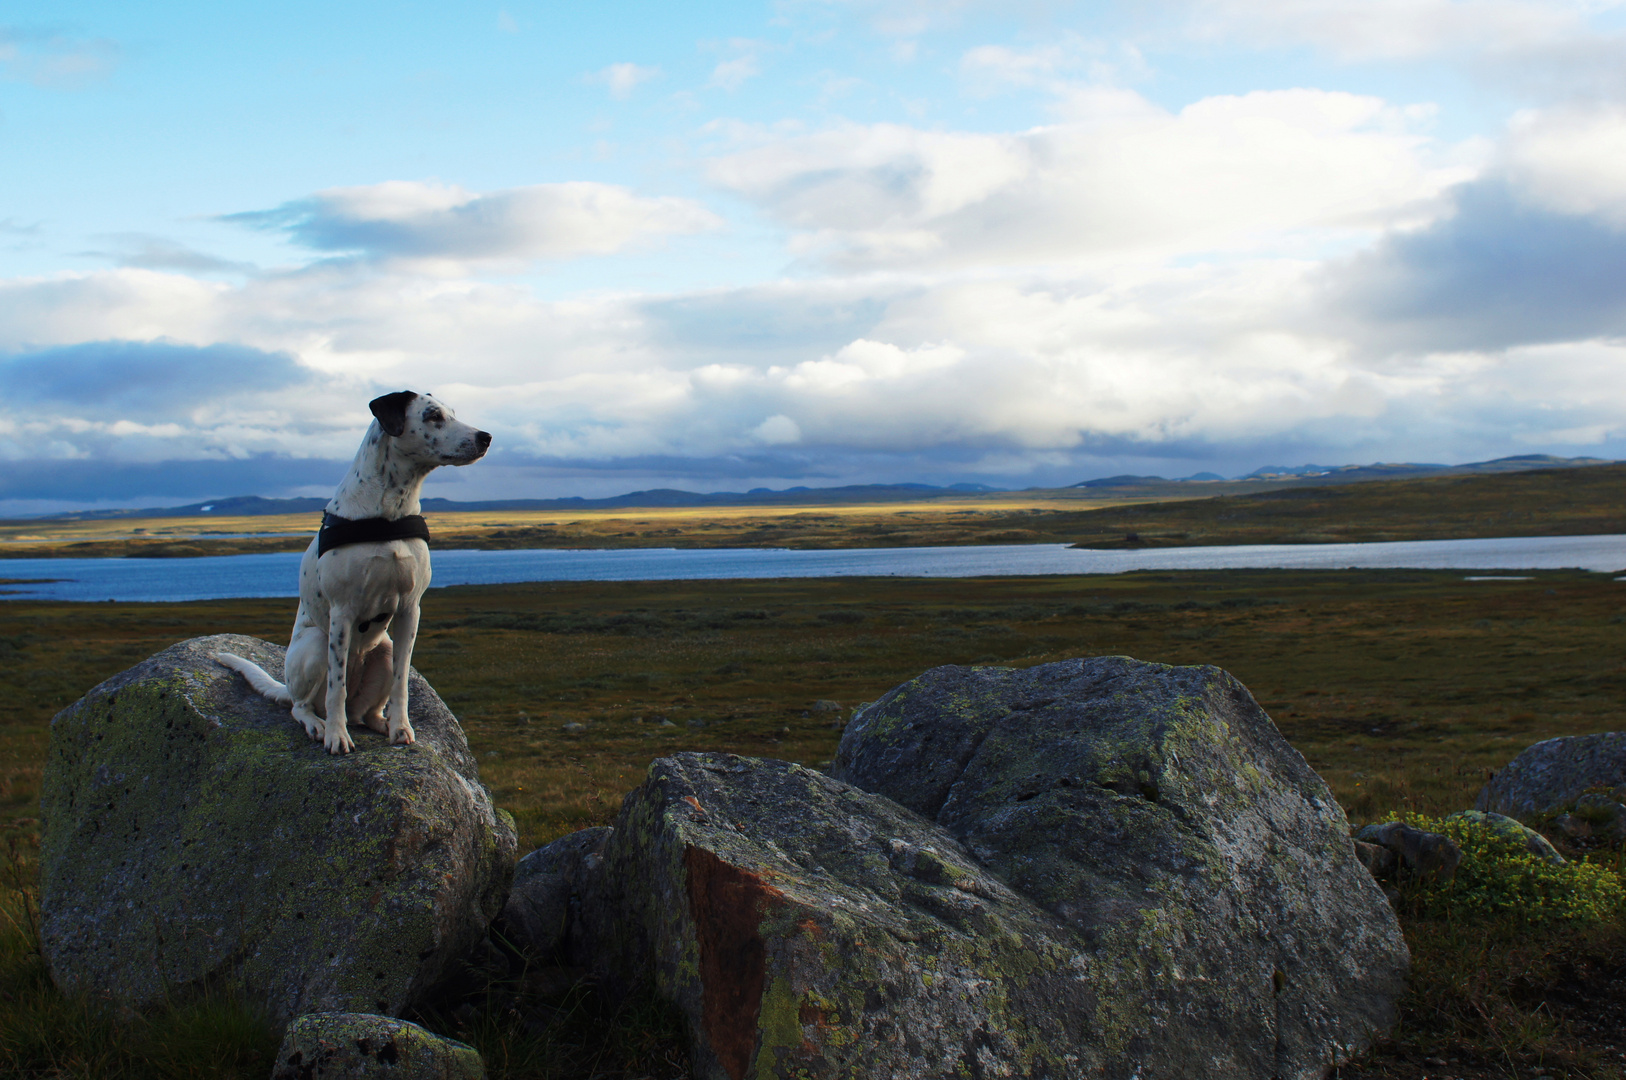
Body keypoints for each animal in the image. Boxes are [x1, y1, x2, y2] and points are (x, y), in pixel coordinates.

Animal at [213, 391, 487, 754]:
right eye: (432, 415)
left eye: (453, 412)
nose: (485, 437)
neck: (390, 510)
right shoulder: (342, 612)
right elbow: (336, 686)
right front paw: (336, 735)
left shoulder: (410, 609)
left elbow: (401, 681)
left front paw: (401, 727)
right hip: (315, 644)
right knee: (302, 705)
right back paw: (317, 724)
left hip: (383, 649)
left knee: (364, 712)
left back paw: (381, 722)